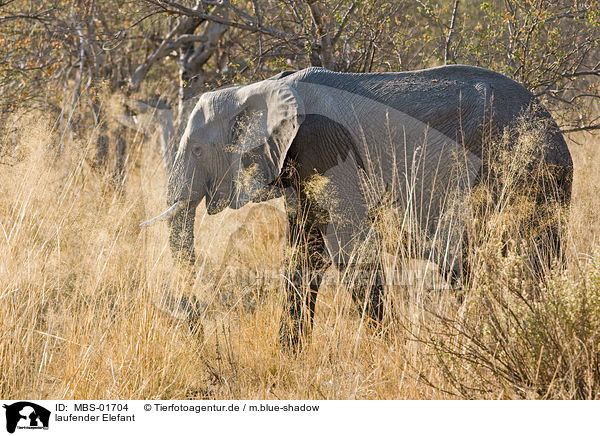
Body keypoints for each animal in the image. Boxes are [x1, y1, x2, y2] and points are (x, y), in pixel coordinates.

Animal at [141, 64, 572, 350]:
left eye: (198, 150)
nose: (198, 330)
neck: (262, 88)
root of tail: (551, 122)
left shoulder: (325, 146)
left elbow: (347, 248)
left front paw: (389, 350)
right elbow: (304, 250)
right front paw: (288, 354)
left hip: (528, 169)